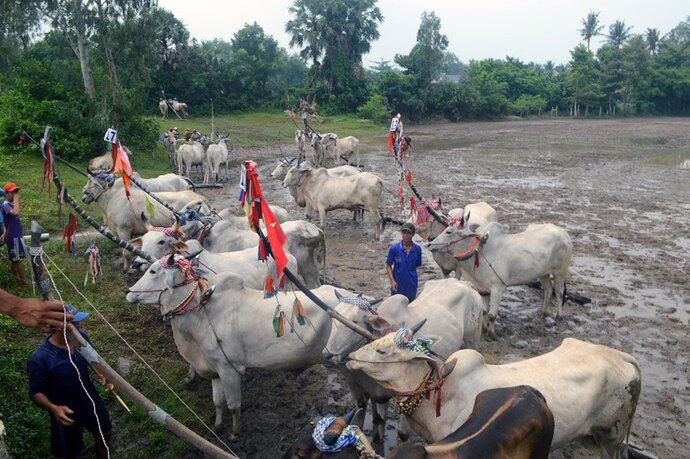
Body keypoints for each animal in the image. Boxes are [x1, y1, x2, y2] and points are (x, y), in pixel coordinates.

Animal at [125, 262, 352, 438]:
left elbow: (234, 405)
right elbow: (218, 402)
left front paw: (234, 433)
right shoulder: (215, 370)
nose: (128, 292)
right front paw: (217, 426)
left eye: (153, 271)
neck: (203, 314)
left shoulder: (229, 370)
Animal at [322, 278, 478, 444]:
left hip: (471, 341)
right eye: (332, 317)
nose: (326, 356)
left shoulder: (401, 392)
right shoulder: (361, 390)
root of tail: (465, 283)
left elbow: (401, 431)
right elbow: (367, 419)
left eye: (355, 321)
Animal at [430, 221, 568, 336]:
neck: (481, 252)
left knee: (560, 292)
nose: (430, 244)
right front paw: (484, 329)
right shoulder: (482, 289)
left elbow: (492, 315)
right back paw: (543, 313)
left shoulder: (498, 288)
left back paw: (559, 316)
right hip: (543, 274)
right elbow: (484, 311)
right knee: (548, 290)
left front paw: (491, 334)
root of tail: (563, 232)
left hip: (560, 272)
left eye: (449, 231)